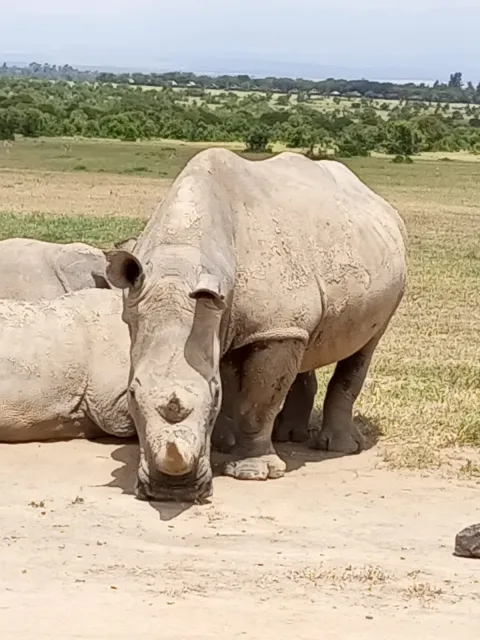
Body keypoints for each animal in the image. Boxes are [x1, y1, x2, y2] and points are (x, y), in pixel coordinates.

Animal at [106, 149, 407, 503]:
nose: (172, 492)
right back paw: (287, 435)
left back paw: (339, 447)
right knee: (305, 342)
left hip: (390, 273)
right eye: (131, 394)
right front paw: (222, 445)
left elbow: (256, 401)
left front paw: (253, 472)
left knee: (365, 346)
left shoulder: (269, 327)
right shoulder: (229, 320)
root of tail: (378, 202)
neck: (181, 259)